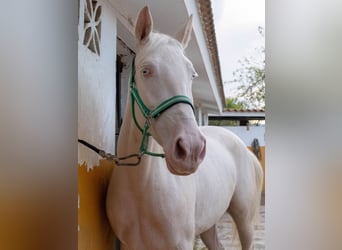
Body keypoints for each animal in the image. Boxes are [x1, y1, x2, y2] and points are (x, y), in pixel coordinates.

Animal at [106, 6, 262, 250]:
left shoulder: (181, 243)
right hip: (208, 225)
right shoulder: (129, 244)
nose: (191, 149)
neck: (141, 189)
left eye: (192, 74)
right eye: (145, 71)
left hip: (244, 220)